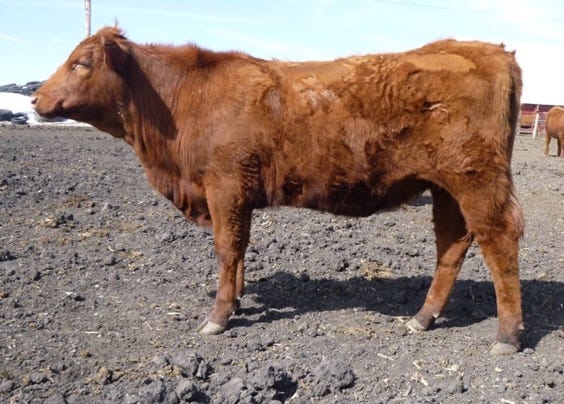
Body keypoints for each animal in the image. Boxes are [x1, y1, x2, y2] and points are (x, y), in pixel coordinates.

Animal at [33, 26, 525, 355]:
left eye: (81, 62)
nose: (36, 99)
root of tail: (487, 50)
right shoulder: (237, 194)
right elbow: (240, 248)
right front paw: (237, 299)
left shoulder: (226, 185)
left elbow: (227, 247)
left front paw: (218, 317)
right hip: (446, 189)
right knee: (452, 246)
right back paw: (422, 319)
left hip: (477, 181)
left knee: (499, 242)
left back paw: (507, 335)